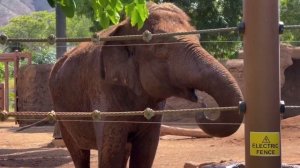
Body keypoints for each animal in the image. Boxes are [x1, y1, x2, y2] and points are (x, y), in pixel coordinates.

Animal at [48, 2, 244, 168]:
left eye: (198, 38)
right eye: (160, 47)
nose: (202, 106)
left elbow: (146, 151)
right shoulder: (102, 90)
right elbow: (111, 154)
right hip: (62, 115)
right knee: (78, 152)